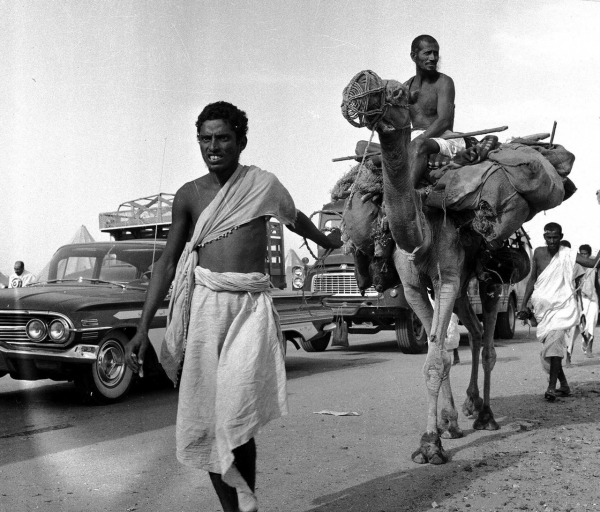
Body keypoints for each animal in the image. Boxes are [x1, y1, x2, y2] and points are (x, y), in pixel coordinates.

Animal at [340, 72, 532, 464]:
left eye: (398, 92)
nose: (360, 93)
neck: (423, 230)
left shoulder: (446, 279)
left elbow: (435, 357)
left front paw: (430, 443)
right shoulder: (415, 287)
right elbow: (439, 352)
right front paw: (447, 423)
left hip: (491, 276)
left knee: (488, 340)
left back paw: (487, 415)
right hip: (462, 285)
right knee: (475, 332)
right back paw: (471, 406)